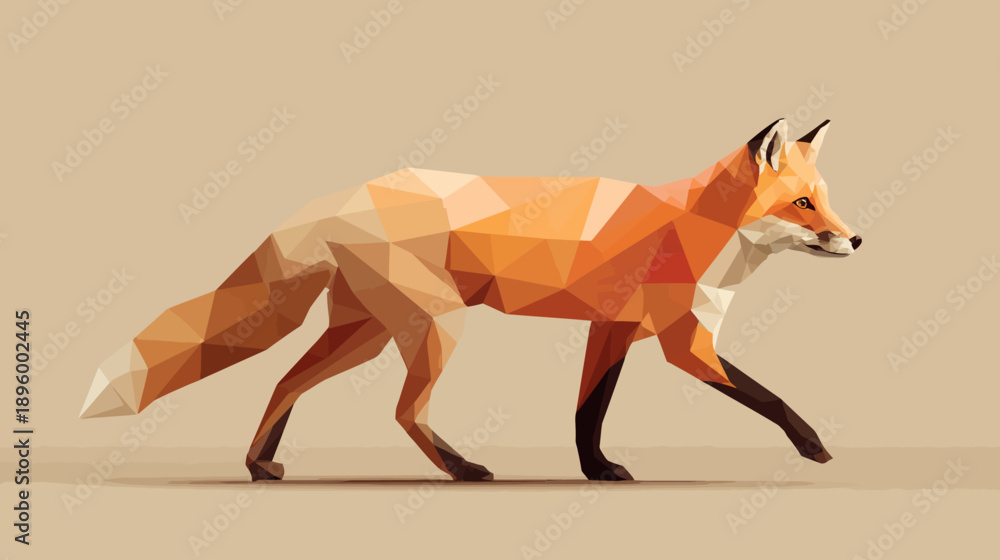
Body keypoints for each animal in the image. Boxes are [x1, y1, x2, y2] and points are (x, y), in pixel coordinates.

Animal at [81, 118, 860, 482]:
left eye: (824, 198)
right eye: (801, 204)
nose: (857, 239)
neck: (698, 229)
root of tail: (340, 195)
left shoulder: (609, 330)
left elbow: (587, 413)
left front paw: (597, 471)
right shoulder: (683, 343)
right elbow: (771, 398)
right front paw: (817, 447)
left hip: (365, 332)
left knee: (284, 380)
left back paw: (259, 466)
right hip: (436, 327)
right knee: (402, 411)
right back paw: (461, 470)